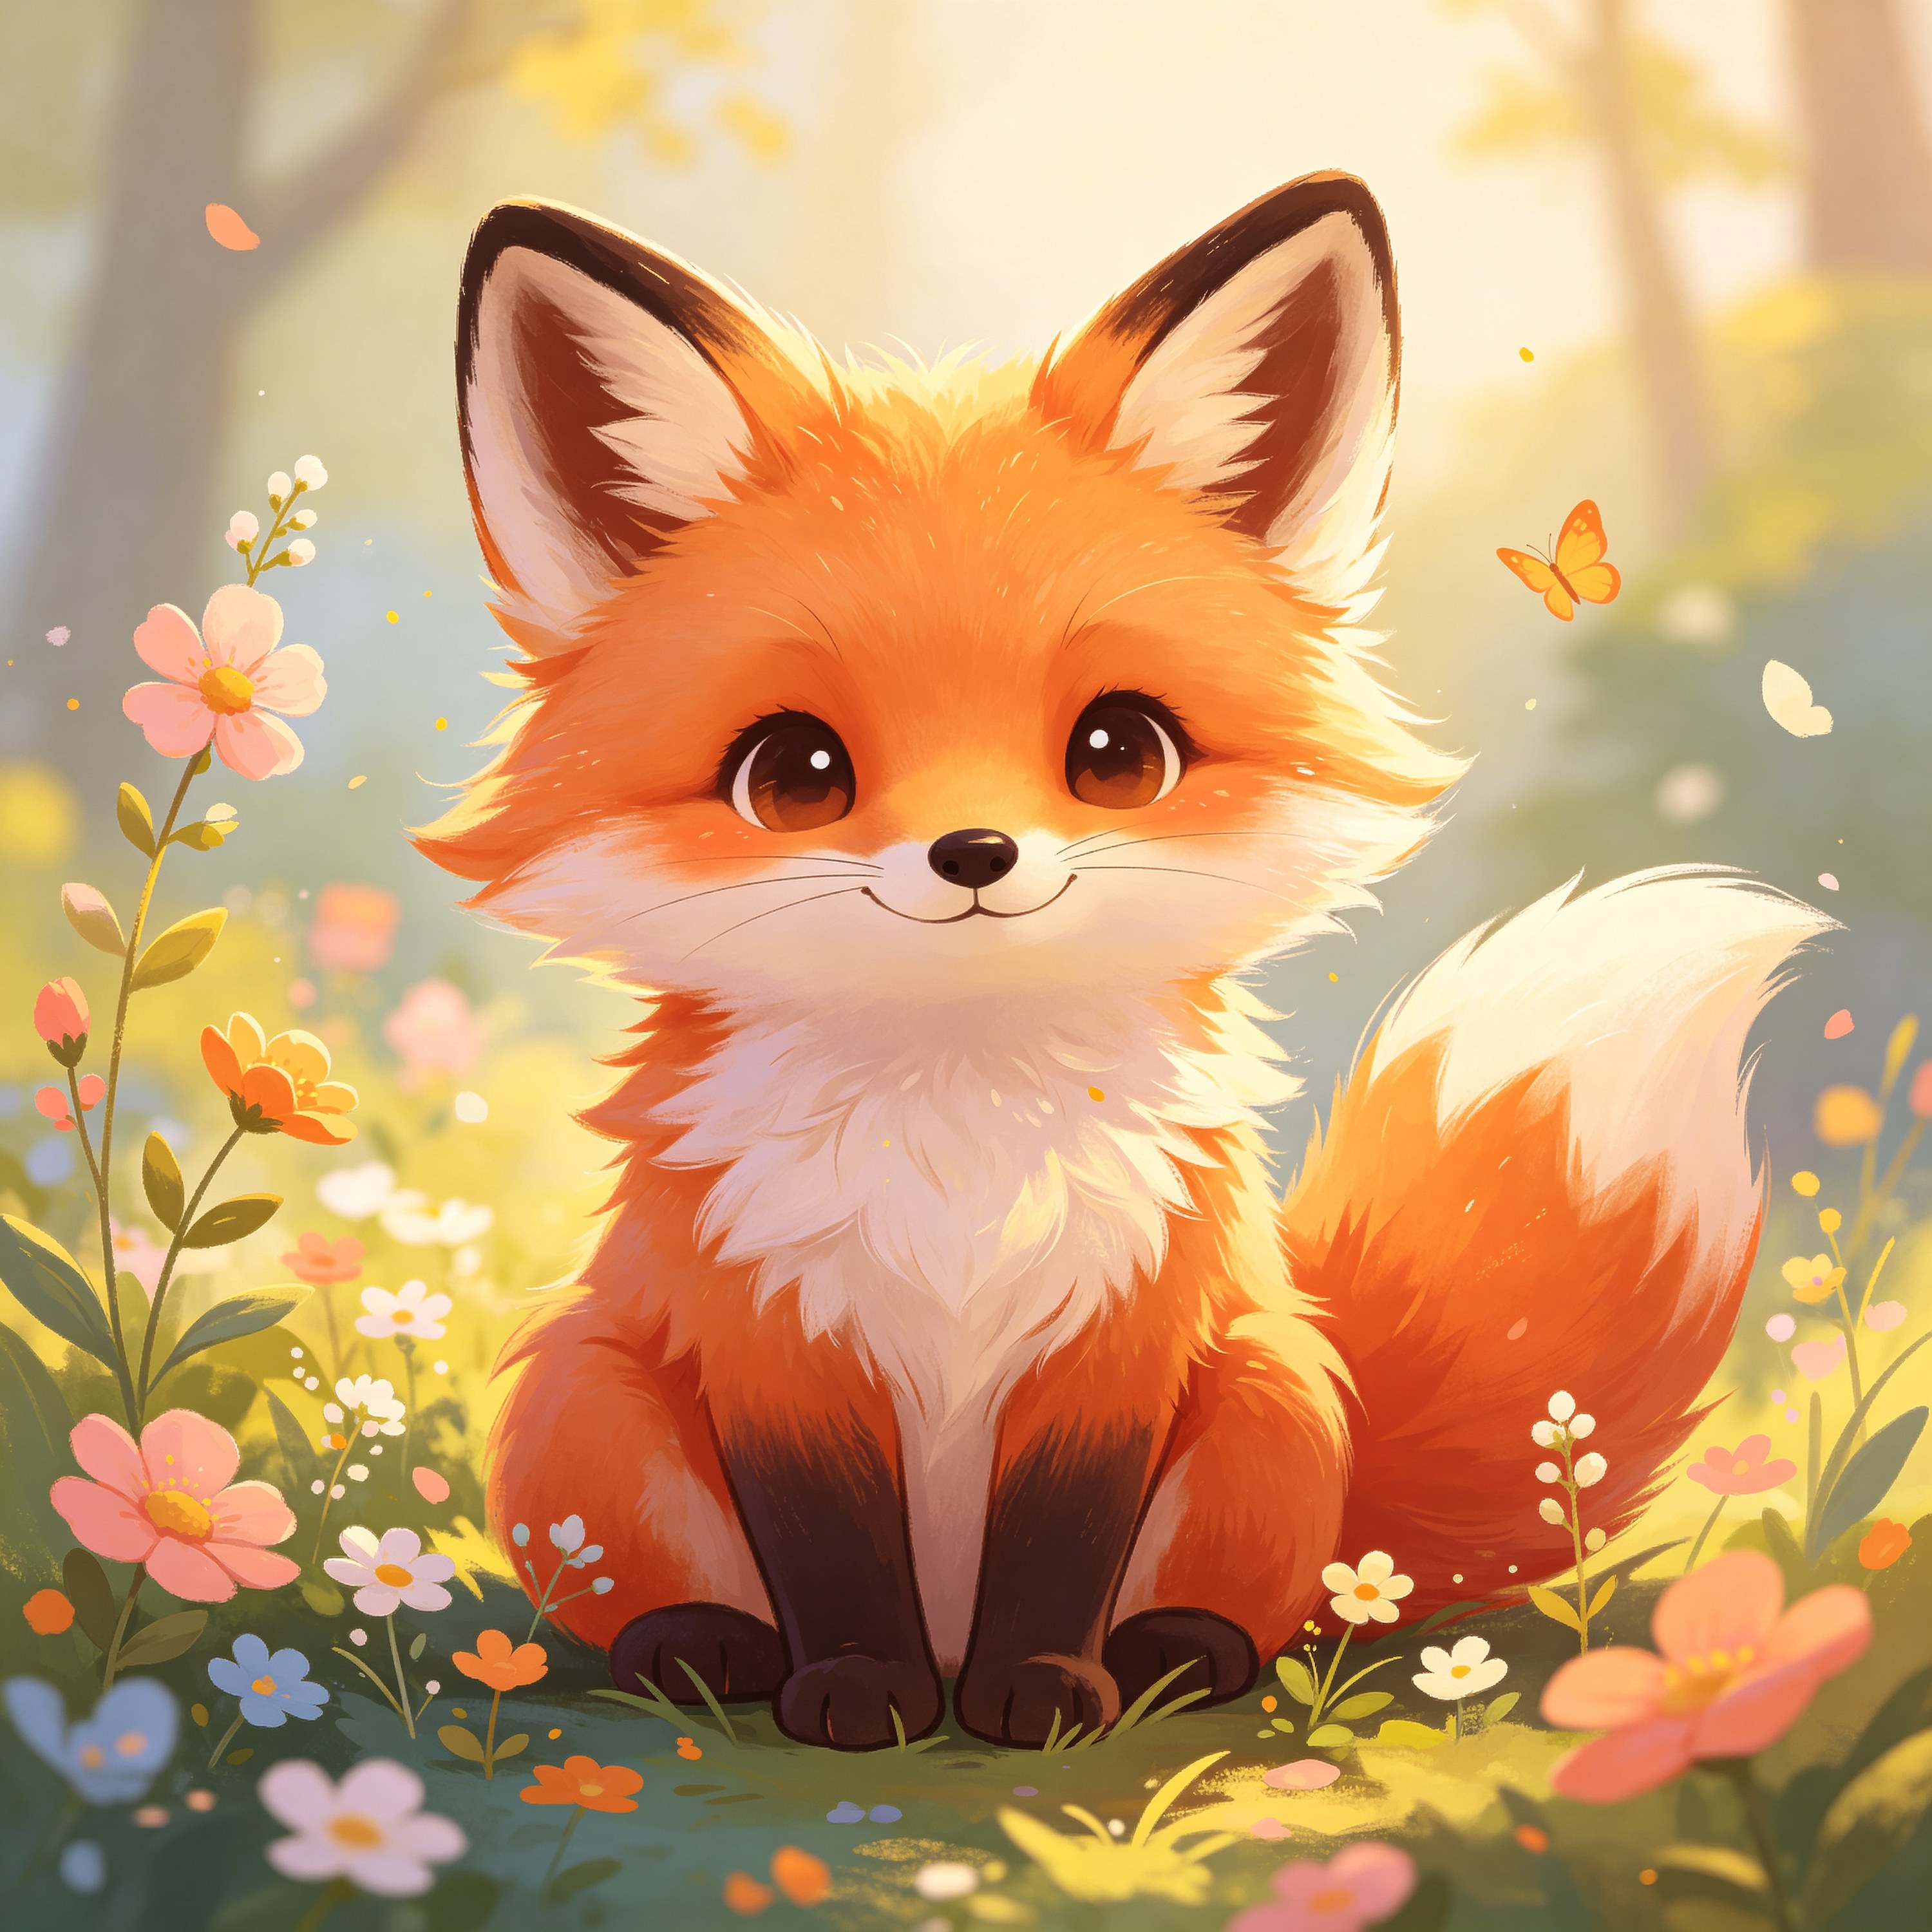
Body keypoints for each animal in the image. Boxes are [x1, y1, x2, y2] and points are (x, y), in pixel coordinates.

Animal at [416, 173, 1830, 1751]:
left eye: (1117, 751)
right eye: (792, 775)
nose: (973, 852)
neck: (957, 1151)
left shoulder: (1122, 1334)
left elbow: (1062, 1541)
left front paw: (1042, 1695)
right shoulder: (772, 1342)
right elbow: (830, 1549)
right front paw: (858, 1694)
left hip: (1271, 1395)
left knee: (1252, 1604)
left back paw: (1177, 1652)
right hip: (583, 1398)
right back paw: (702, 1648)